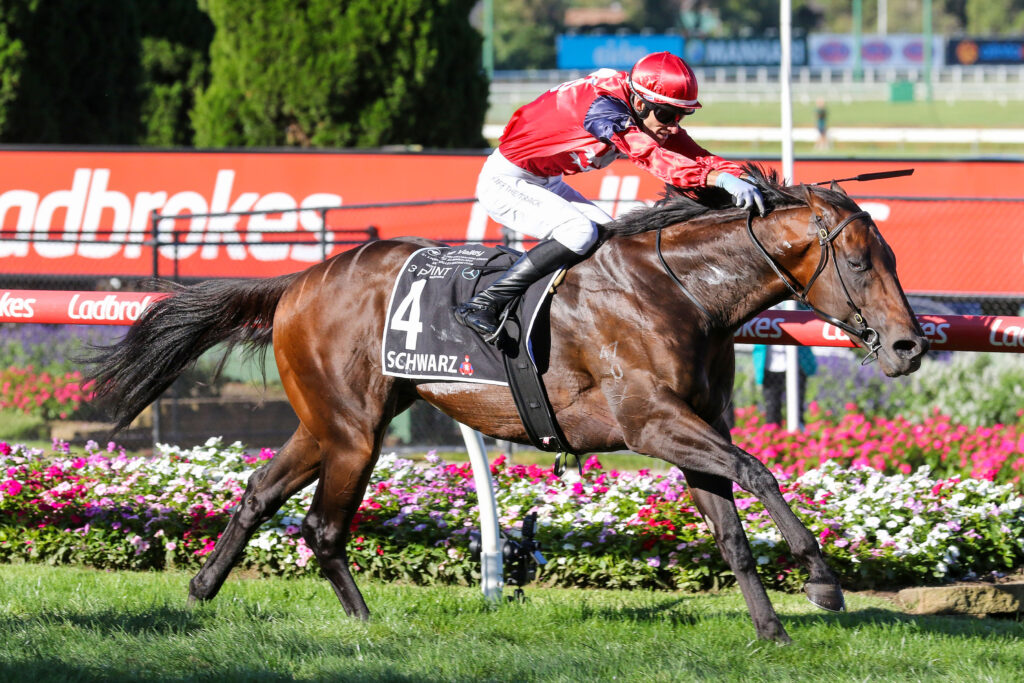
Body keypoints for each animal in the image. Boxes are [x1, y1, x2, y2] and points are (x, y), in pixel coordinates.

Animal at [86, 167, 928, 643]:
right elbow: (759, 471)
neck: (680, 290)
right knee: (322, 526)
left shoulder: (694, 425)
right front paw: (822, 579)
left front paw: (771, 628)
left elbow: (731, 530)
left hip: (326, 422)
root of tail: (298, 280)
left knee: (261, 490)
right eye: (860, 261)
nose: (910, 345)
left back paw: (201, 588)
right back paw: (364, 623)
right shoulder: (653, 423)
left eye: (893, 256)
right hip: (354, 431)